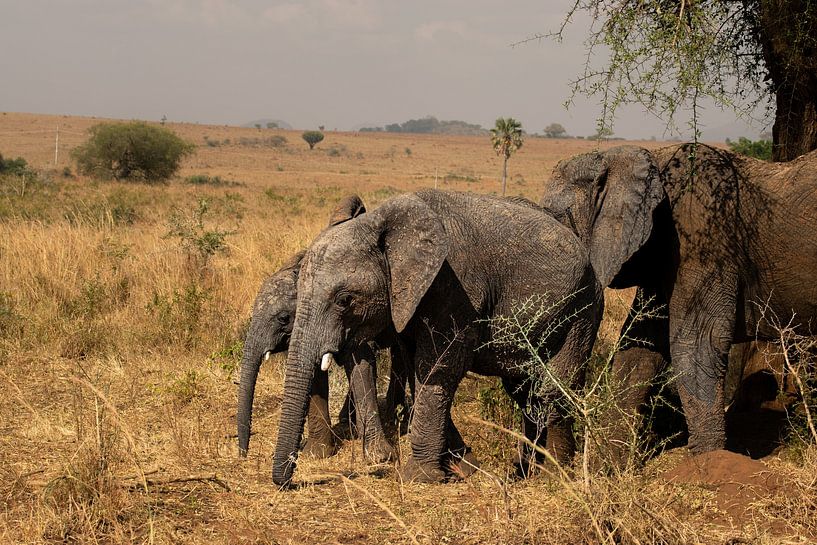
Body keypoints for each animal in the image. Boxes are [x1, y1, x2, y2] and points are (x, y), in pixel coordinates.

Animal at [271, 189, 603, 486]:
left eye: (344, 300)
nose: (290, 480)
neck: (383, 226)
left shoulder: (457, 286)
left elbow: (438, 367)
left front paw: (419, 478)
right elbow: (417, 368)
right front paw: (465, 465)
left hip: (582, 310)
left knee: (554, 389)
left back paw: (555, 476)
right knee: (524, 392)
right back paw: (525, 470)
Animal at [540, 143, 817, 456]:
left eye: (559, 221)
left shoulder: (700, 236)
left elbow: (696, 344)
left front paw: (707, 462)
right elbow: (639, 347)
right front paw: (610, 464)